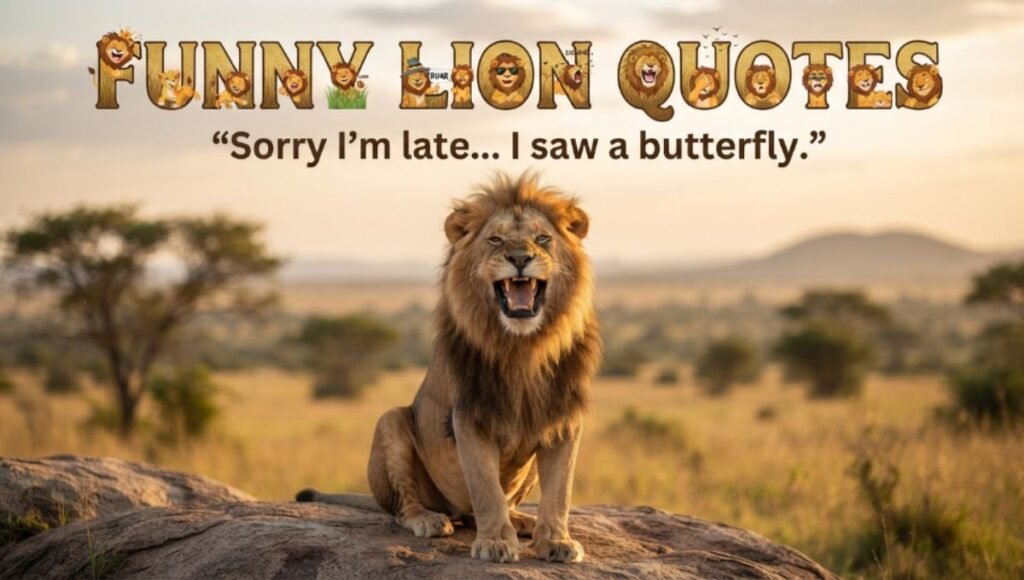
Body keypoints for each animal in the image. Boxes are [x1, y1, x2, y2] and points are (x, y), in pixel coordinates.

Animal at [297, 172, 601, 565]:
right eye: (495, 239)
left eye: (543, 239)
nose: (520, 258)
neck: (524, 347)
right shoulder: (469, 416)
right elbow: (486, 489)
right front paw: (495, 542)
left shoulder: (563, 416)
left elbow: (560, 490)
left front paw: (557, 541)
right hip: (391, 421)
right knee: (405, 508)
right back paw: (429, 519)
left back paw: (522, 520)